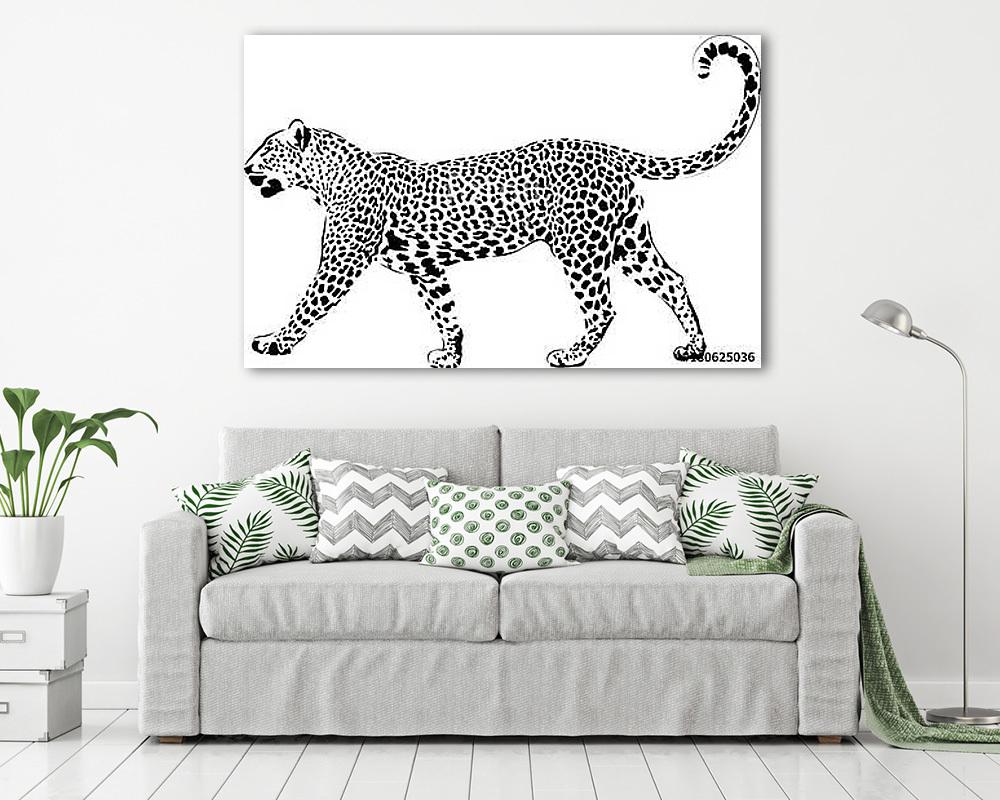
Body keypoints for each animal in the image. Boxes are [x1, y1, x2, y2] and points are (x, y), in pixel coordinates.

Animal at [244, 36, 760, 368]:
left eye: (267, 150)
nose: (245, 170)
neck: (326, 178)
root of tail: (608, 148)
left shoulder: (341, 261)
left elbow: (308, 302)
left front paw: (275, 342)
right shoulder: (427, 269)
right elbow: (446, 312)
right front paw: (450, 355)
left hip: (581, 248)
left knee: (604, 308)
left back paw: (570, 356)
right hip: (627, 240)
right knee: (672, 281)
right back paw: (694, 348)